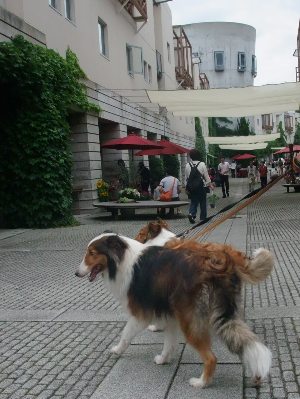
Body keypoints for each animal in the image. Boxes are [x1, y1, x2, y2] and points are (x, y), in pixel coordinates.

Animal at [75, 233, 274, 390]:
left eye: (92, 253)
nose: (76, 273)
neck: (122, 259)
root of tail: (219, 261)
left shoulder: (140, 314)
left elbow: (126, 334)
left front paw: (117, 350)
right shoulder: (171, 316)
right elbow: (169, 343)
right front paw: (164, 359)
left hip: (190, 321)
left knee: (211, 358)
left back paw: (201, 383)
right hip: (224, 315)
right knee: (246, 340)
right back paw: (257, 374)